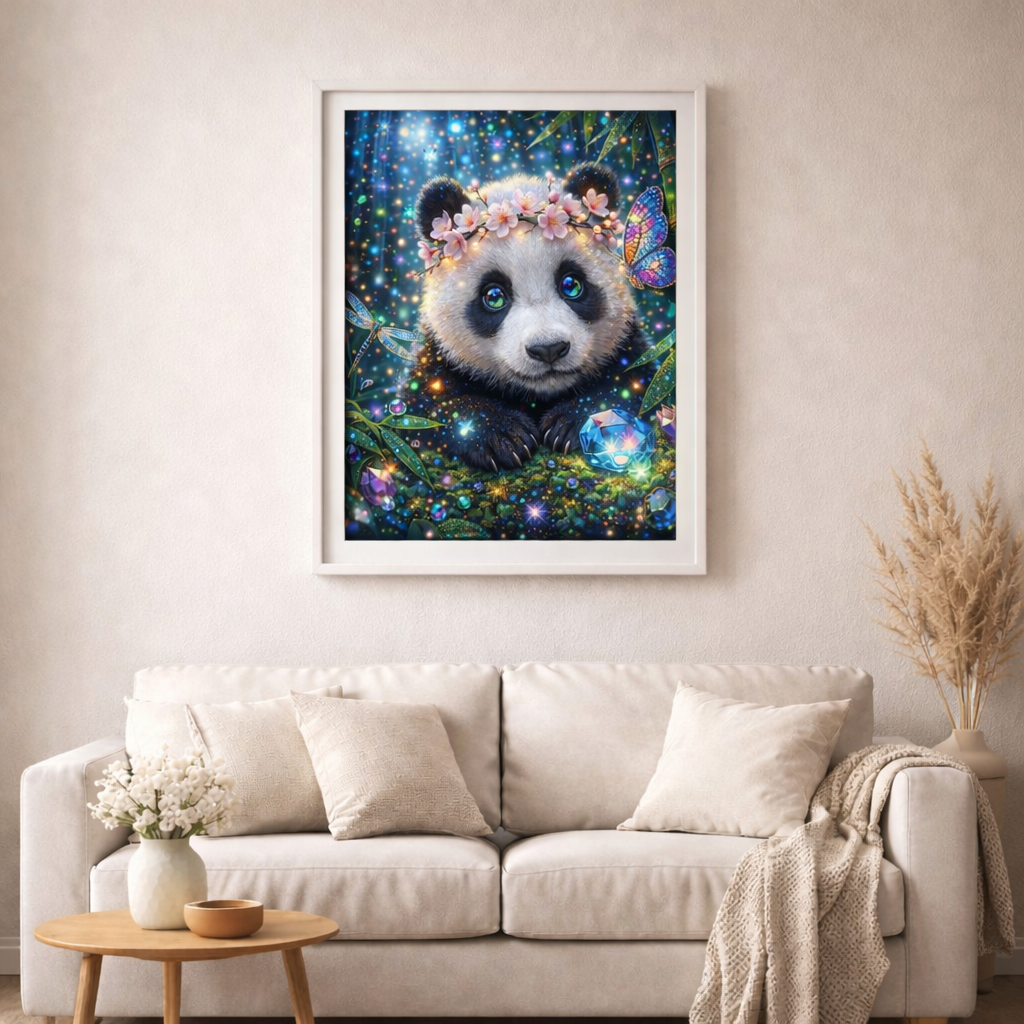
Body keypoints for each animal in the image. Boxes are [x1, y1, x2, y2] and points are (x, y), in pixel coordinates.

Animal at [404, 162, 653, 473]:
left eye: (571, 284)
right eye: (494, 296)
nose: (548, 349)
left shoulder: (627, 345)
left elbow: (636, 384)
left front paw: (571, 423)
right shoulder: (438, 356)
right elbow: (423, 410)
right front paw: (503, 436)